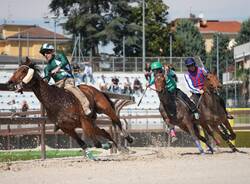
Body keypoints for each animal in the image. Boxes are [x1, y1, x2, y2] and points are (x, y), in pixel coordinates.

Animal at [6, 57, 134, 155]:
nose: (9, 82)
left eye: (23, 70)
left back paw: (127, 138)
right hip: (91, 122)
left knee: (117, 120)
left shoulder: (84, 121)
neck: (56, 101)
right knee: (104, 132)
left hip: (104, 108)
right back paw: (120, 148)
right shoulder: (67, 128)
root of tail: (94, 89)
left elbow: (96, 143)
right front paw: (93, 154)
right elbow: (83, 143)